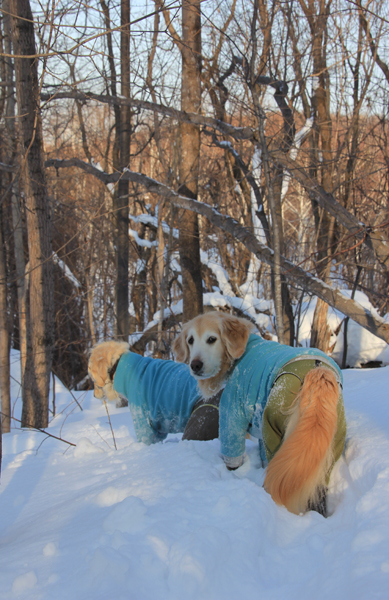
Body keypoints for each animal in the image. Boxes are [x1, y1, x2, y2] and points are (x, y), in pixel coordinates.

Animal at [173, 310, 346, 516]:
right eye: (190, 340)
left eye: (212, 339)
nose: (195, 365)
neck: (241, 352)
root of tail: (318, 372)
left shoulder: (233, 413)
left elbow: (232, 455)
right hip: (329, 446)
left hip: (274, 432)